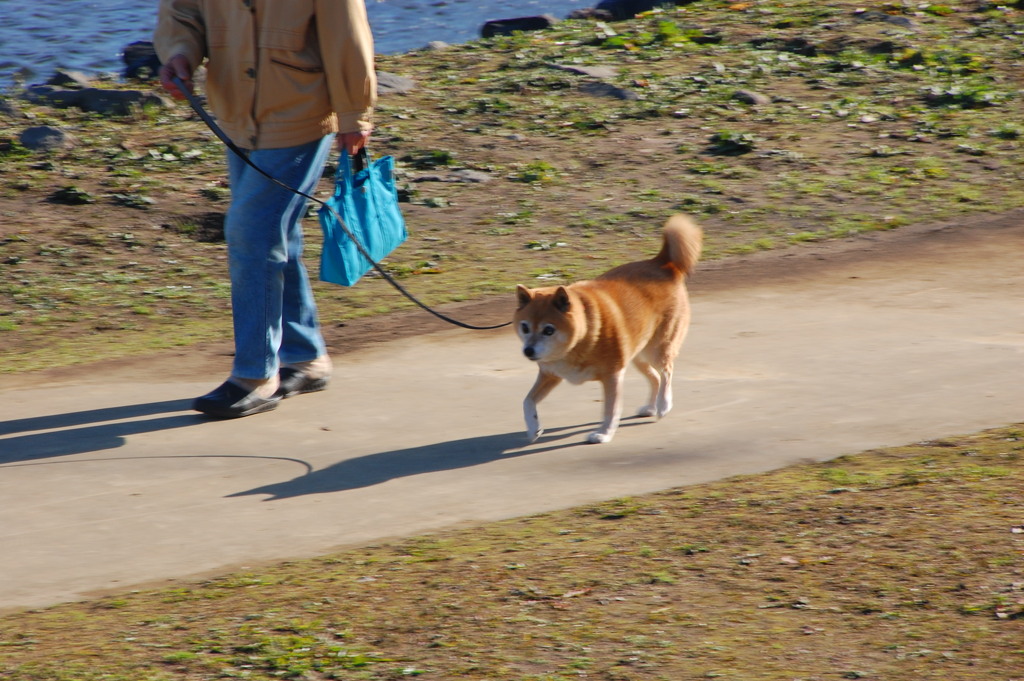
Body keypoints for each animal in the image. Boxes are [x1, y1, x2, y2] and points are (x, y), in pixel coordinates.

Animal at [516, 215, 700, 444]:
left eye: (549, 330)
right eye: (525, 327)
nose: (528, 351)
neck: (583, 336)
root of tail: (663, 262)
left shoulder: (612, 376)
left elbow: (610, 410)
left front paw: (604, 433)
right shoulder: (550, 375)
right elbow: (527, 401)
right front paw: (534, 428)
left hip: (657, 349)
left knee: (666, 371)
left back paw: (663, 404)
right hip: (638, 355)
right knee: (655, 377)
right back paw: (651, 407)